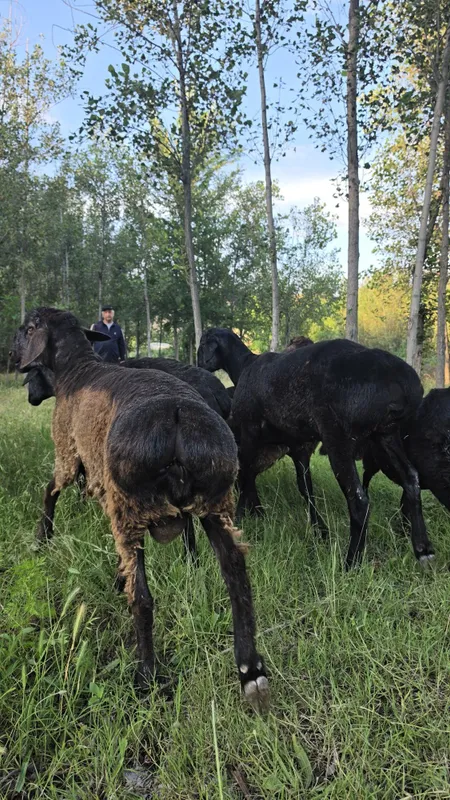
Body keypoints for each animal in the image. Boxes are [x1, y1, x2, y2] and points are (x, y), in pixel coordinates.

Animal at [13, 309, 269, 705]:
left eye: (27, 329)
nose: (12, 358)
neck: (76, 370)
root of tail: (176, 415)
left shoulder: (68, 456)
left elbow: (49, 492)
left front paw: (43, 539)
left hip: (129, 508)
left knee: (143, 599)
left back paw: (145, 675)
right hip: (215, 504)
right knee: (237, 578)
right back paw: (250, 670)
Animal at [198, 328, 434, 568]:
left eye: (203, 343)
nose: (199, 365)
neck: (244, 365)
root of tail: (401, 384)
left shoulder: (249, 430)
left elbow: (245, 474)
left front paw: (243, 515)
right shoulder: (298, 446)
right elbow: (305, 487)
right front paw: (319, 530)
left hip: (337, 437)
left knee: (359, 500)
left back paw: (351, 562)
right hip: (386, 435)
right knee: (411, 479)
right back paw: (423, 549)